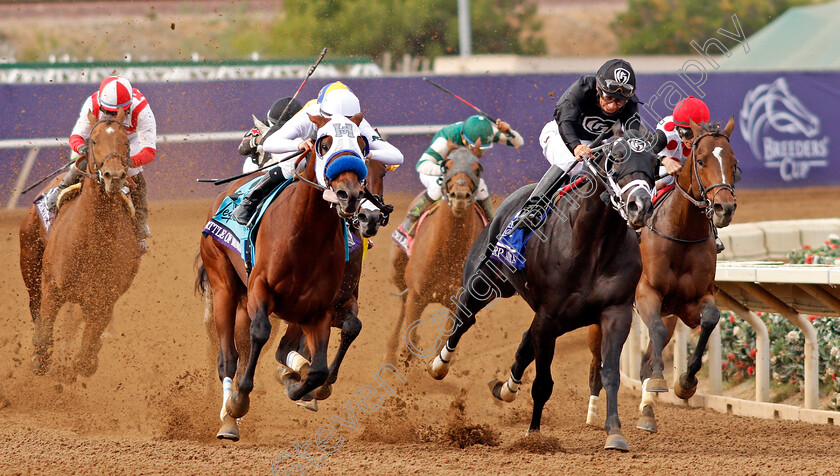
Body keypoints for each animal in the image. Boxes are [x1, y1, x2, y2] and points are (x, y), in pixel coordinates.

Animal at [20, 109, 138, 382]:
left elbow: (85, 358)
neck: (92, 240)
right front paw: (42, 360)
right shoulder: (53, 287)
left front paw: (74, 367)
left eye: (126, 143)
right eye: (93, 140)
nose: (114, 176)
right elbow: (44, 340)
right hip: (29, 258)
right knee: (35, 305)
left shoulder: (104, 299)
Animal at [199, 111, 370, 438]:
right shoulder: (260, 290)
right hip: (223, 283)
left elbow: (318, 369)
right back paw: (228, 419)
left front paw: (296, 385)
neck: (305, 236)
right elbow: (261, 332)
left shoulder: (318, 310)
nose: (350, 195)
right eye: (323, 144)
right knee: (228, 358)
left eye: (361, 143)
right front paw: (240, 400)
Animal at [388, 147, 486, 362]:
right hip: (398, 270)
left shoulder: (457, 303)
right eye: (446, 167)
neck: (448, 252)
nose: (460, 195)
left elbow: (443, 343)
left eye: (477, 169)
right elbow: (409, 341)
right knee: (401, 308)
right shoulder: (416, 296)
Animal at [430, 131, 660, 454]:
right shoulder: (549, 315)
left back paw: (506, 388)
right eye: (615, 160)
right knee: (465, 316)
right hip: (483, 281)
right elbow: (542, 383)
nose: (639, 206)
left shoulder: (616, 313)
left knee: (525, 341)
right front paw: (535, 436)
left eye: (654, 162)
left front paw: (615, 432)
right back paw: (440, 364)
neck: (592, 244)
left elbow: (610, 373)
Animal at [624, 118, 736, 432]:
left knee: (648, 355)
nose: (724, 208)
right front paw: (663, 380)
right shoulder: (646, 292)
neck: (681, 231)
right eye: (700, 160)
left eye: (734, 162)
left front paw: (685, 382)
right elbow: (656, 332)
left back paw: (647, 413)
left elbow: (710, 319)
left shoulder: (690, 301)